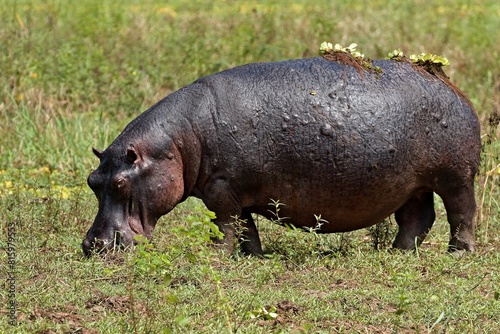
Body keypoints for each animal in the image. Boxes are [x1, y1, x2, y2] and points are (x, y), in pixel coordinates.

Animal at [82, 56, 480, 256]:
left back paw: (458, 253)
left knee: (462, 213)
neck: (176, 142)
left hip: (455, 176)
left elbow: (226, 226)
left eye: (121, 183)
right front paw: (254, 257)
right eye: (92, 180)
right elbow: (246, 228)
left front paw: (215, 257)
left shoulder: (221, 192)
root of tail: (450, 84)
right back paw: (399, 253)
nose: (91, 246)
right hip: (413, 184)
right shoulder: (234, 194)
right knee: (417, 218)